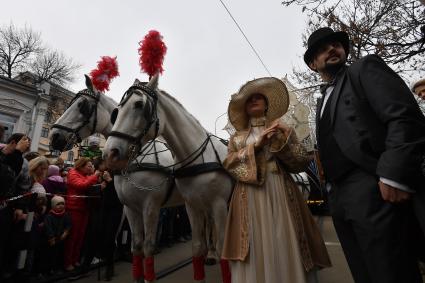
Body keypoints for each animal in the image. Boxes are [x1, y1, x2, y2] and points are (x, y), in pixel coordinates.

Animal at [49, 76, 182, 283]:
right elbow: (113, 235)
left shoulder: (146, 206)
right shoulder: (123, 205)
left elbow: (138, 242)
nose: (54, 136)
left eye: (82, 105)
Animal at [104, 76, 234, 283]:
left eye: (139, 105)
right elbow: (140, 246)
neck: (198, 156)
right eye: (117, 111)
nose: (110, 153)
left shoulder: (153, 205)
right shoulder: (135, 208)